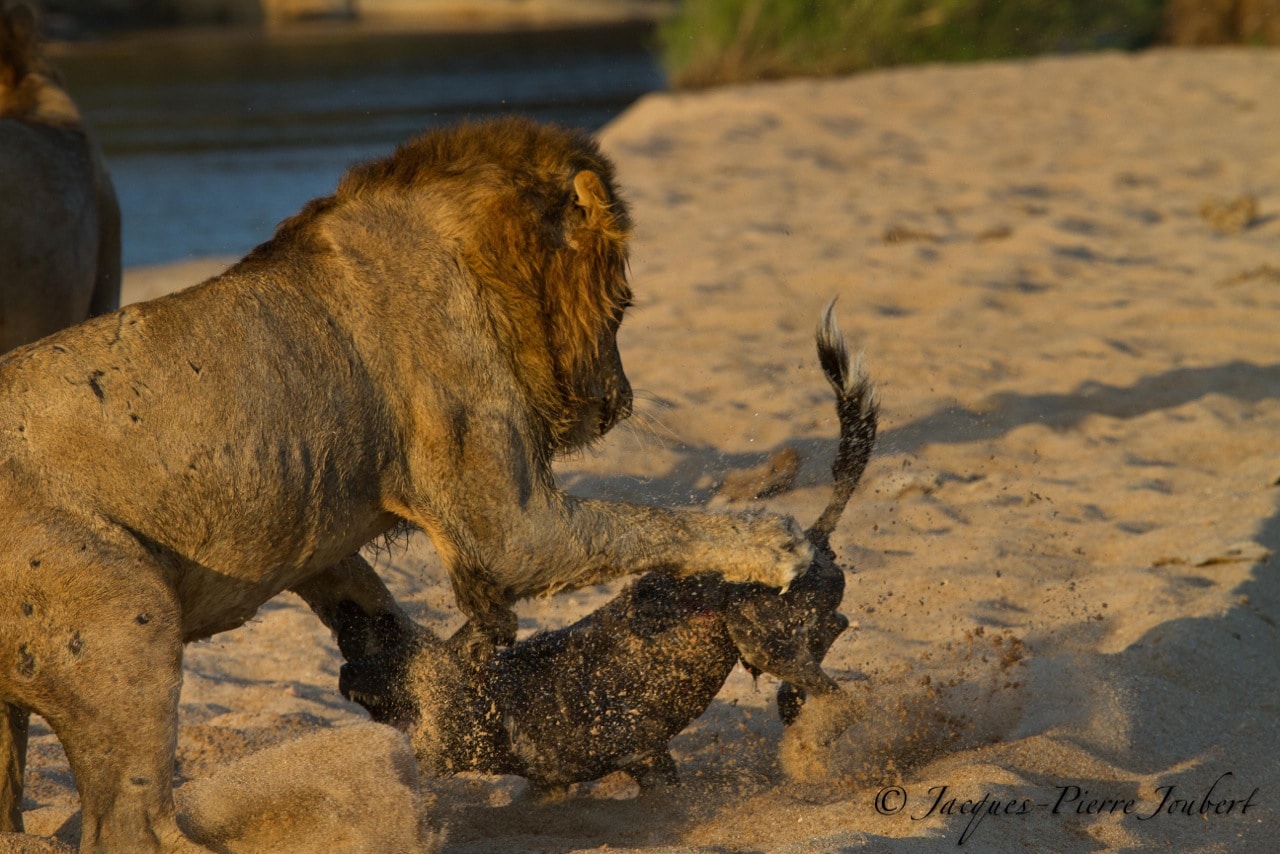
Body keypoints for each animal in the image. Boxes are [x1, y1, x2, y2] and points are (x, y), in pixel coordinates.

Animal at [0, 117, 808, 850]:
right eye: (621, 305)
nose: (620, 402)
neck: (479, 258)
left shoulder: (333, 531)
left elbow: (377, 607)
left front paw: (438, 687)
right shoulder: (514, 527)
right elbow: (660, 523)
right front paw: (776, 544)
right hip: (124, 619)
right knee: (129, 829)